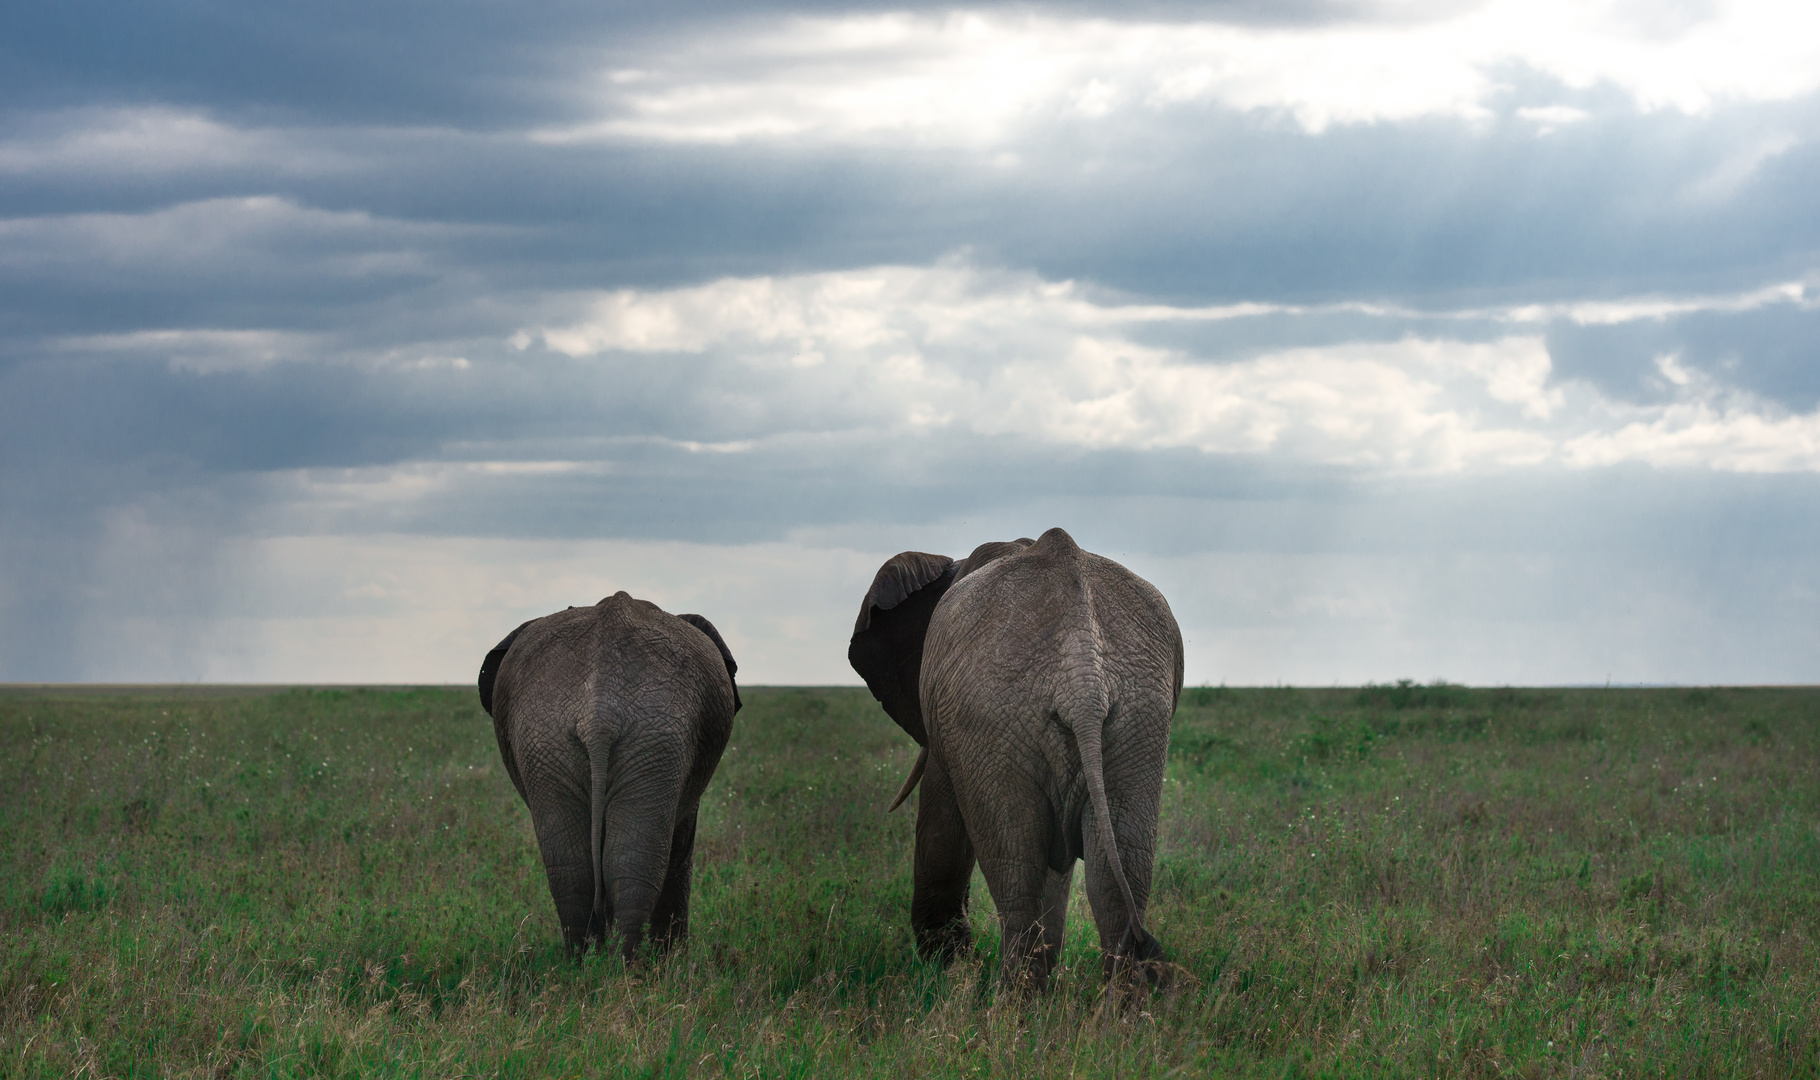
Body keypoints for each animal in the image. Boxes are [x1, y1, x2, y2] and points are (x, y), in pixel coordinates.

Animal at [484, 593, 746, 954]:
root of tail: (599, 714)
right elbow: (681, 848)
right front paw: (674, 959)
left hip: (553, 739)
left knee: (577, 871)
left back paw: (589, 963)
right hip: (646, 738)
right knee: (630, 866)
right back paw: (628, 965)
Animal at [848, 528, 1179, 990]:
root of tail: (1084, 676)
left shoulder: (953, 728)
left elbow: (941, 830)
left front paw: (943, 965)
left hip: (993, 716)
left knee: (1015, 872)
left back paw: (1011, 1003)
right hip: (1138, 716)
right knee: (1116, 877)